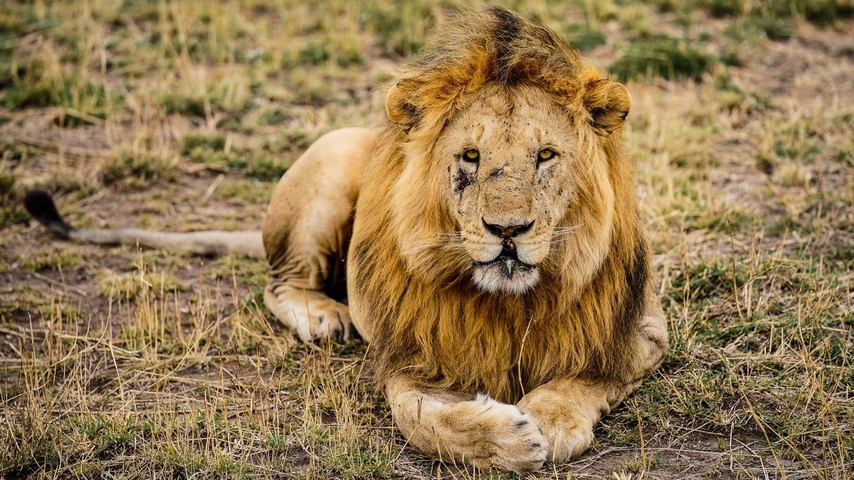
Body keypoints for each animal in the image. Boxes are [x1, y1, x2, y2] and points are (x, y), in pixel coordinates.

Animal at [24, 6, 668, 472]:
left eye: (546, 156)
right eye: (470, 157)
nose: (506, 231)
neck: (510, 304)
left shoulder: (642, 330)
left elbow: (590, 375)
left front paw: (551, 421)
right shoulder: (409, 352)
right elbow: (420, 418)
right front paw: (507, 440)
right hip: (332, 155)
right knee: (280, 282)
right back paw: (323, 316)